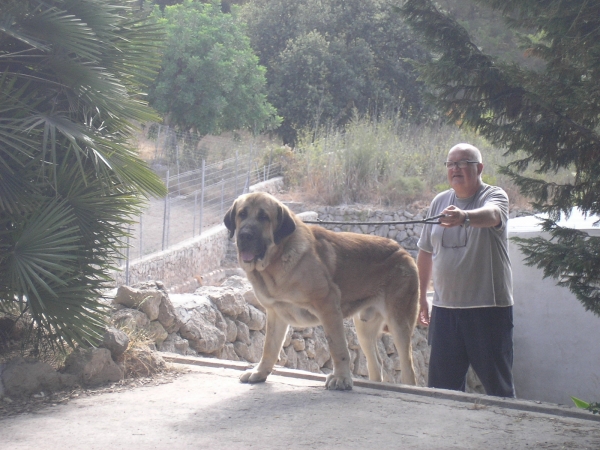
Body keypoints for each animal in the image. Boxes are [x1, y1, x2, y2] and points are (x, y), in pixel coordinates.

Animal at [224, 192, 418, 388]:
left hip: (398, 323)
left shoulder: (328, 307)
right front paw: (260, 372)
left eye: (264, 217)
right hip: (364, 327)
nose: (245, 235)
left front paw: (341, 378)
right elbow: (269, 347)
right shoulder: (275, 313)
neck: (276, 260)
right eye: (242, 214)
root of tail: (403, 250)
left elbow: (338, 348)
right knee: (376, 364)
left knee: (408, 368)